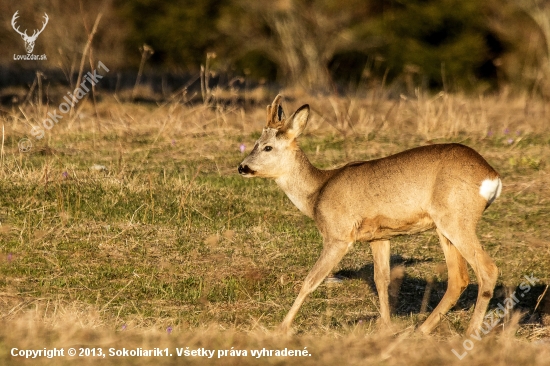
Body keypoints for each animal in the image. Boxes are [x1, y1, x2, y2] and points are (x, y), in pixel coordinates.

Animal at [238, 94, 504, 334]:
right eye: (254, 144)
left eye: (267, 147)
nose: (242, 167)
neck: (316, 193)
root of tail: (492, 176)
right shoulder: (379, 237)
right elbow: (381, 280)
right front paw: (385, 327)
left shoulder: (338, 235)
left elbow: (311, 281)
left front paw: (281, 327)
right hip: (444, 226)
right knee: (458, 278)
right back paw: (422, 329)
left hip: (457, 219)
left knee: (488, 270)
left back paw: (470, 332)